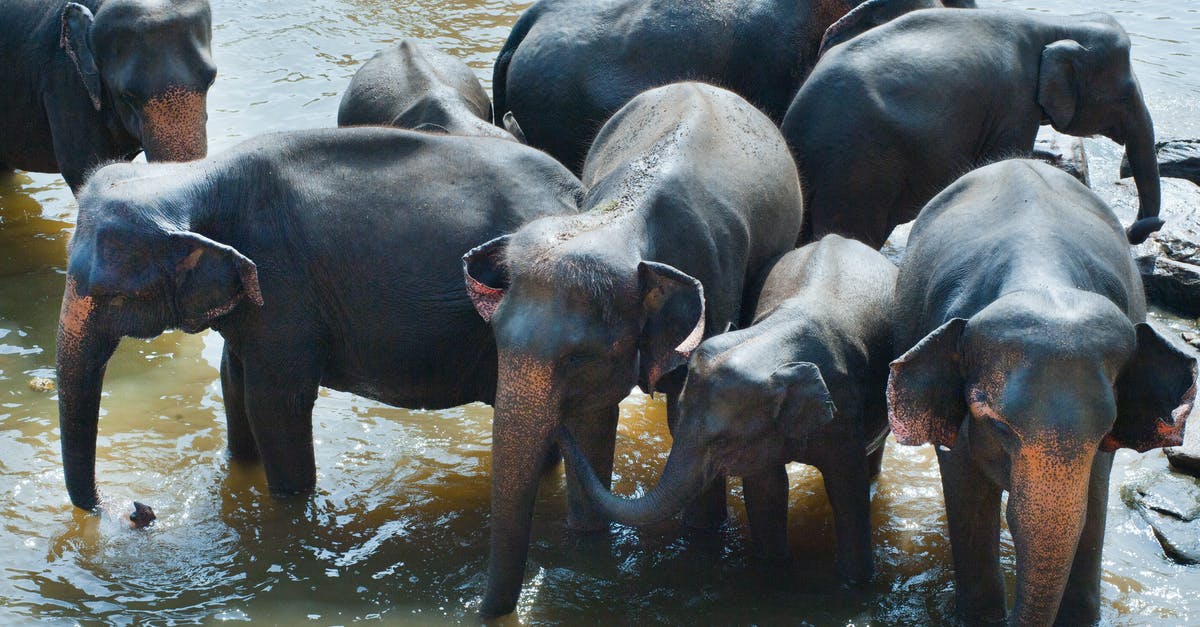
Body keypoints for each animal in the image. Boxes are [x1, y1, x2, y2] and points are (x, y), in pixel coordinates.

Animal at [56, 126, 583, 513]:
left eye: (110, 296)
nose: (135, 509)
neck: (196, 176)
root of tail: (579, 195)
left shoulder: (283, 286)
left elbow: (275, 402)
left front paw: (290, 508)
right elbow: (234, 380)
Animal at [462, 82, 803, 616]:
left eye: (577, 357)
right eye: (496, 339)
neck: (619, 222)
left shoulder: (714, 284)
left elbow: (683, 414)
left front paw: (702, 538)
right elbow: (594, 420)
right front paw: (587, 546)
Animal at [559, 234, 897, 583]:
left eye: (722, 442)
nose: (560, 425)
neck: (772, 338)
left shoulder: (844, 409)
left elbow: (847, 489)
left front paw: (856, 582)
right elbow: (766, 488)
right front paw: (772, 569)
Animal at [782, 9, 1164, 248]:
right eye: (1125, 95)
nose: (1137, 227)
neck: (1056, 25)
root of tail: (795, 120)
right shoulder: (1014, 106)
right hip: (859, 169)